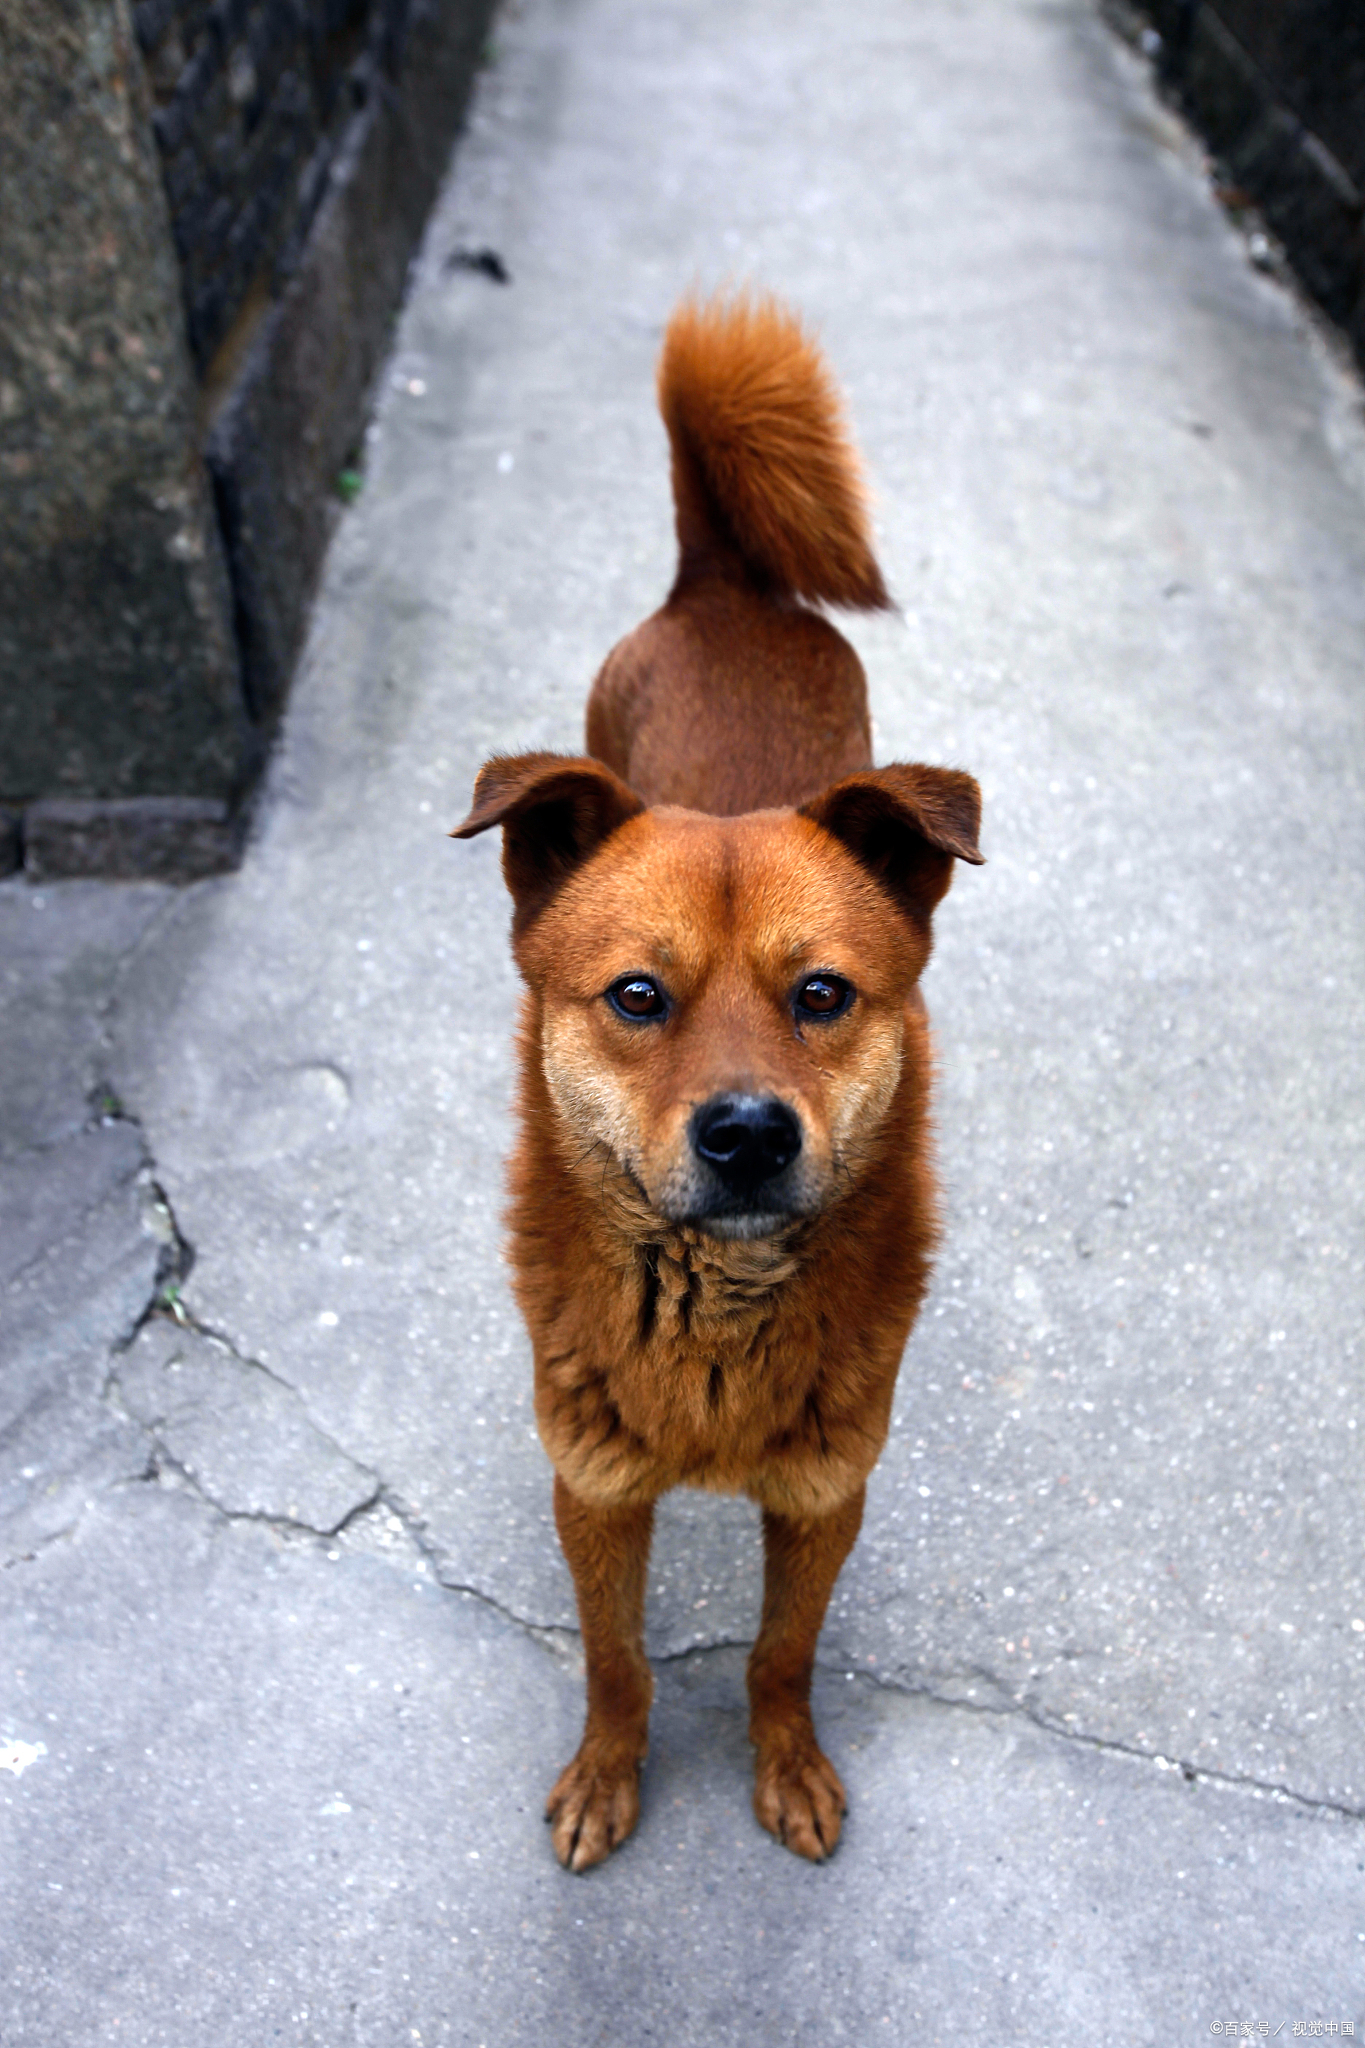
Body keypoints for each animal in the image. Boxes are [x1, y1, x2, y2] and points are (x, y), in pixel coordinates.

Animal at [456, 288, 982, 1875]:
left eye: (824, 996)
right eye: (638, 995)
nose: (747, 1133)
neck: (714, 1320)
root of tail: (723, 589)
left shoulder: (825, 1493)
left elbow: (777, 1656)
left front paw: (786, 1764)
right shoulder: (592, 1488)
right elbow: (619, 1663)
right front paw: (608, 1776)